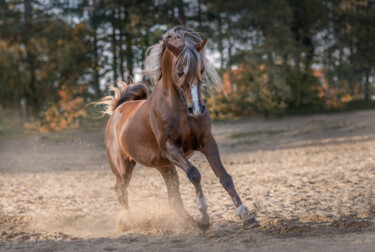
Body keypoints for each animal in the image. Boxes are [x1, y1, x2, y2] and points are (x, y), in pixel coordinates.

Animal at [95, 26, 260, 232]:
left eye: (202, 70)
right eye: (181, 72)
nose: (196, 109)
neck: (179, 108)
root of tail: (117, 110)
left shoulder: (207, 142)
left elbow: (224, 176)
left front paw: (246, 216)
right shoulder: (171, 148)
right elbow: (194, 174)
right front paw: (203, 213)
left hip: (165, 167)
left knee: (173, 200)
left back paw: (196, 224)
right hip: (124, 168)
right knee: (121, 190)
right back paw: (128, 222)